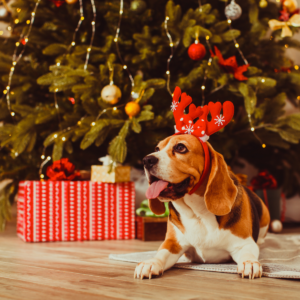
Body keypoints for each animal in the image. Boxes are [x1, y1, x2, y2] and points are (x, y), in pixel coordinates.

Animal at [135, 131, 270, 278]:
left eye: (180, 147)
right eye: (157, 149)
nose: (146, 160)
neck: (198, 214)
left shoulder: (244, 243)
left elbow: (248, 253)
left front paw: (249, 263)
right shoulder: (172, 243)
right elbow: (161, 253)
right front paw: (151, 263)